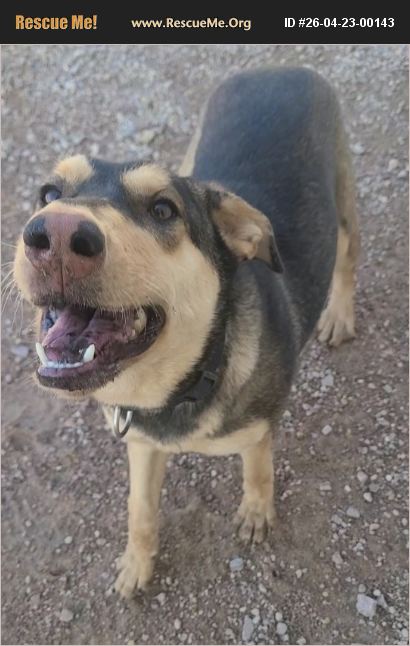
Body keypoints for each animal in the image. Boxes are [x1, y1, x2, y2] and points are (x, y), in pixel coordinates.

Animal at [14, 67, 360, 598]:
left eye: (163, 210)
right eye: (49, 193)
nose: (55, 235)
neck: (180, 384)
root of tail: (281, 68)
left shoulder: (257, 432)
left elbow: (259, 471)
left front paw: (256, 513)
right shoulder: (141, 444)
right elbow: (140, 509)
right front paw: (137, 564)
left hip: (342, 198)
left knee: (347, 255)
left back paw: (340, 312)